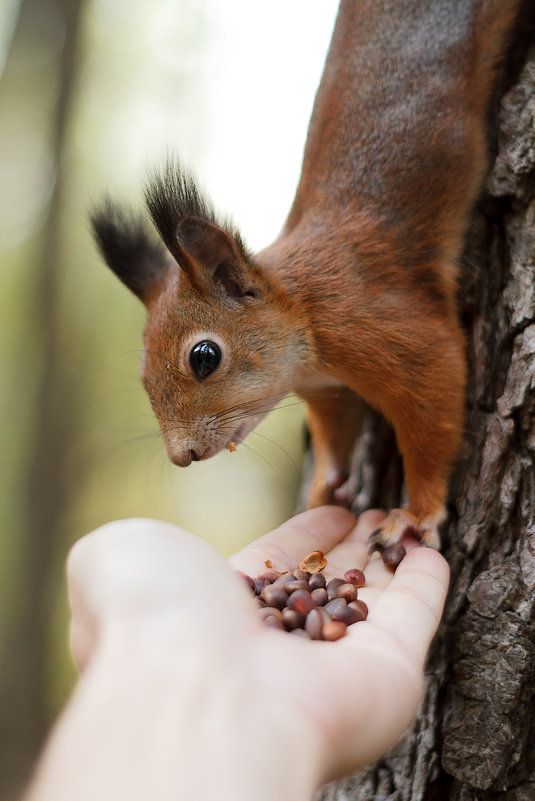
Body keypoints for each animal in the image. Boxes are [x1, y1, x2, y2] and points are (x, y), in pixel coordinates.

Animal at [92, 0, 524, 552]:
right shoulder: (327, 387)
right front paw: (326, 485)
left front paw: (416, 513)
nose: (181, 456)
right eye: (143, 376)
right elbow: (337, 430)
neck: (307, 317)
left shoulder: (391, 327)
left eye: (204, 357)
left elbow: (435, 402)